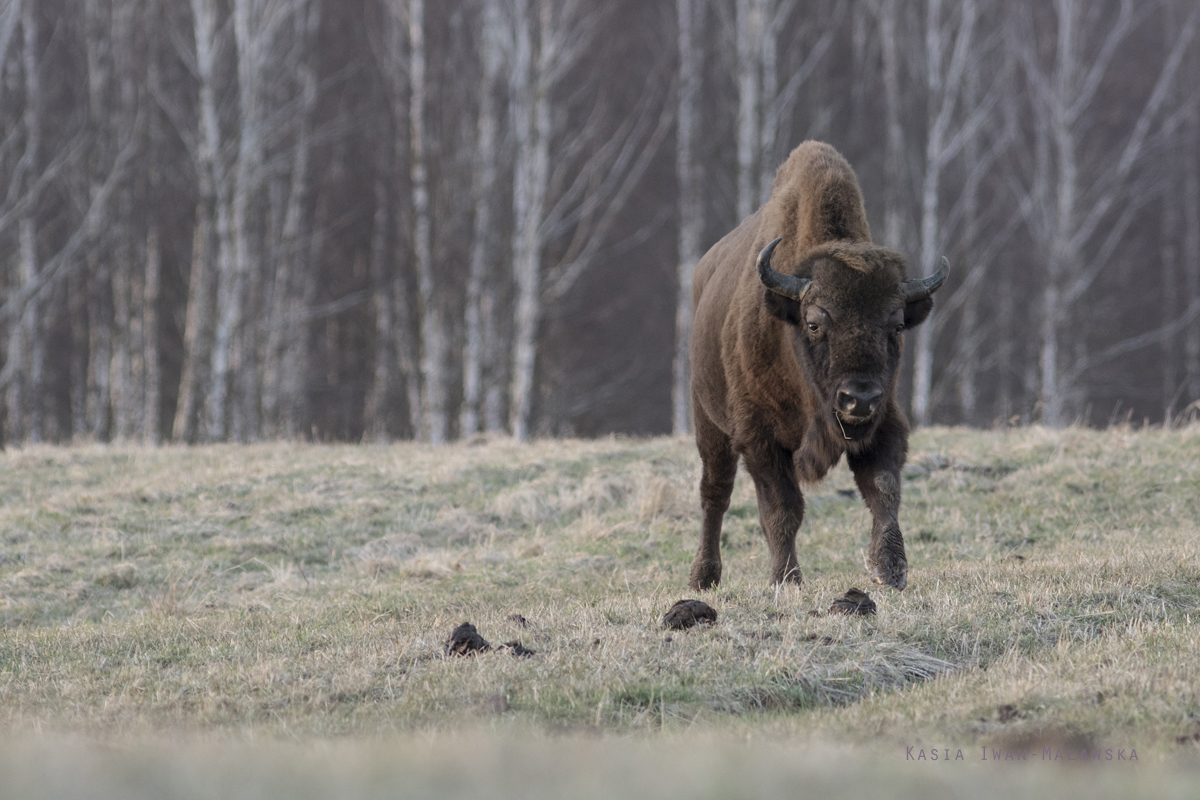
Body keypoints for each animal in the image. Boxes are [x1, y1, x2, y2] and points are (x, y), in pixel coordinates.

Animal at [686, 140, 945, 592]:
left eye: (897, 326)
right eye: (814, 322)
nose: (858, 398)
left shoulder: (884, 420)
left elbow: (884, 488)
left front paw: (890, 569)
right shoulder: (759, 436)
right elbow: (782, 506)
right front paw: (786, 578)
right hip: (709, 424)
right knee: (714, 493)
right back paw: (703, 577)